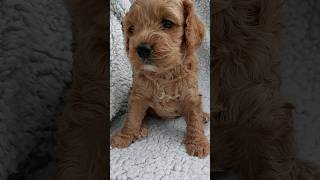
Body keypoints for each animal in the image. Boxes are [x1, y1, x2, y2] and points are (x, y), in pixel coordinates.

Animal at [110, 0, 210, 158]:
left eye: (167, 23)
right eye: (131, 29)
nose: (142, 49)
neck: (163, 73)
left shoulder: (191, 95)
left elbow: (194, 119)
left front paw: (197, 143)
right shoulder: (138, 95)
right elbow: (132, 117)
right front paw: (124, 136)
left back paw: (204, 115)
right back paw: (141, 128)